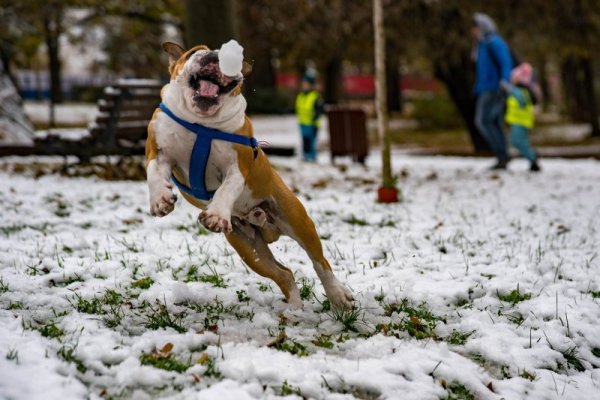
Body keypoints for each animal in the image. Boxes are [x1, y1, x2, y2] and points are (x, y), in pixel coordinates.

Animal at [145, 42, 352, 310]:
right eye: (193, 52)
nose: (216, 55)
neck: (200, 123)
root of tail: (265, 224)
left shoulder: (237, 166)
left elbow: (227, 189)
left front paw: (215, 215)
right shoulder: (158, 152)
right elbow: (153, 173)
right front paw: (160, 200)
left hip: (298, 221)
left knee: (320, 263)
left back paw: (338, 295)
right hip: (250, 249)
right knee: (284, 274)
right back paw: (295, 310)